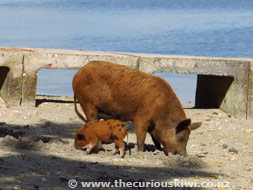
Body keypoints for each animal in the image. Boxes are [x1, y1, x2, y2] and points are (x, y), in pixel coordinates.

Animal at [72, 60, 202, 156]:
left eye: (188, 138)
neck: (161, 111)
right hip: (87, 103)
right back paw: (100, 148)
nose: (184, 155)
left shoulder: (154, 127)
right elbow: (141, 135)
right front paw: (140, 152)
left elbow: (155, 139)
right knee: (92, 120)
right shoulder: (142, 116)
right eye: (182, 137)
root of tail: (77, 74)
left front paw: (158, 150)